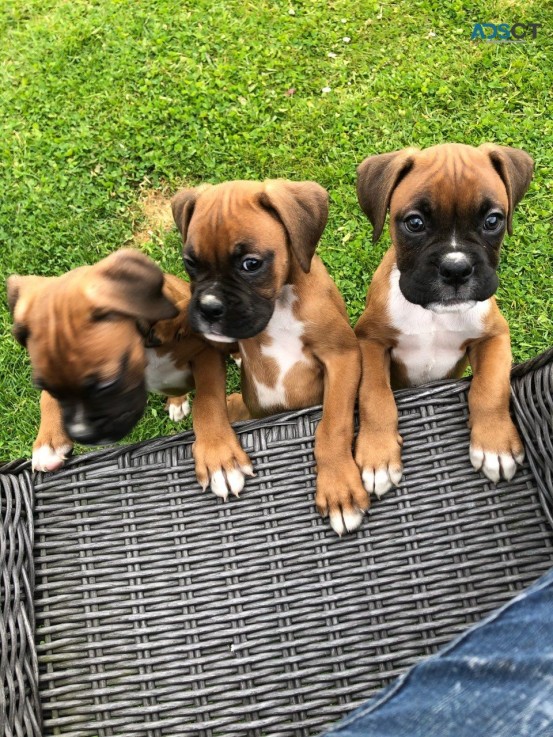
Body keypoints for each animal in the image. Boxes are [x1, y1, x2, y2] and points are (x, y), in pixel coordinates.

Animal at [7, 249, 250, 500]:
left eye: (107, 384)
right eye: (50, 387)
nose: (82, 435)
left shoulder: (205, 353)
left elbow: (208, 400)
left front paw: (218, 456)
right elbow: (45, 398)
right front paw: (48, 441)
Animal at [170, 178, 368, 536]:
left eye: (251, 264)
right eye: (191, 263)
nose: (208, 308)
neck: (279, 306)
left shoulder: (343, 356)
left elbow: (333, 424)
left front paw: (338, 489)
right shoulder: (210, 347)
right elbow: (208, 400)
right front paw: (219, 456)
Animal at [352, 141, 532, 498]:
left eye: (493, 220)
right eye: (415, 223)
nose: (456, 268)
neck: (432, 315)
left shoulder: (494, 337)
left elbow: (490, 387)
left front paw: (495, 445)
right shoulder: (370, 341)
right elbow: (375, 395)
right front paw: (378, 456)